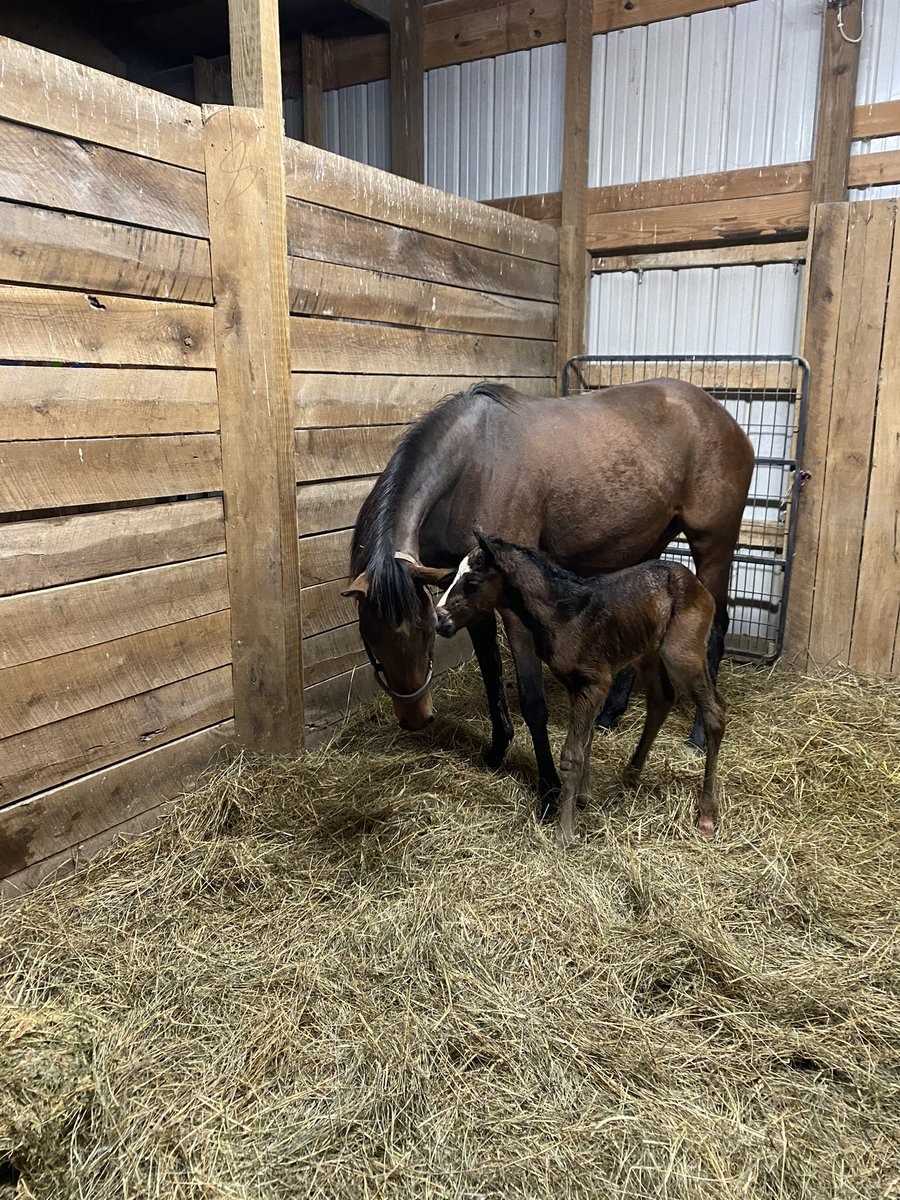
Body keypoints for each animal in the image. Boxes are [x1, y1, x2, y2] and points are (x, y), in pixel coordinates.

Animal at [342, 381, 753, 811]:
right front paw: (497, 749)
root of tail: (722, 417)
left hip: (713, 546)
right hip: (649, 543)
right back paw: (610, 713)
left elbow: (531, 699)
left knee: (717, 628)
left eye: (425, 632)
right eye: (370, 639)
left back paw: (696, 734)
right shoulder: (471, 602)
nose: (415, 717)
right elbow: (491, 677)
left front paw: (551, 787)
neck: (471, 465)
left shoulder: (515, 609)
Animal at [434, 528, 725, 846]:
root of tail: (695, 582)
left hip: (682, 654)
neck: (565, 612)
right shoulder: (578, 686)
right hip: (648, 654)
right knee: (661, 699)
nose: (439, 619)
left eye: (472, 583)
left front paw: (564, 832)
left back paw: (707, 813)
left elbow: (572, 754)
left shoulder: (593, 683)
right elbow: (585, 743)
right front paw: (584, 798)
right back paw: (630, 775)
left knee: (714, 714)